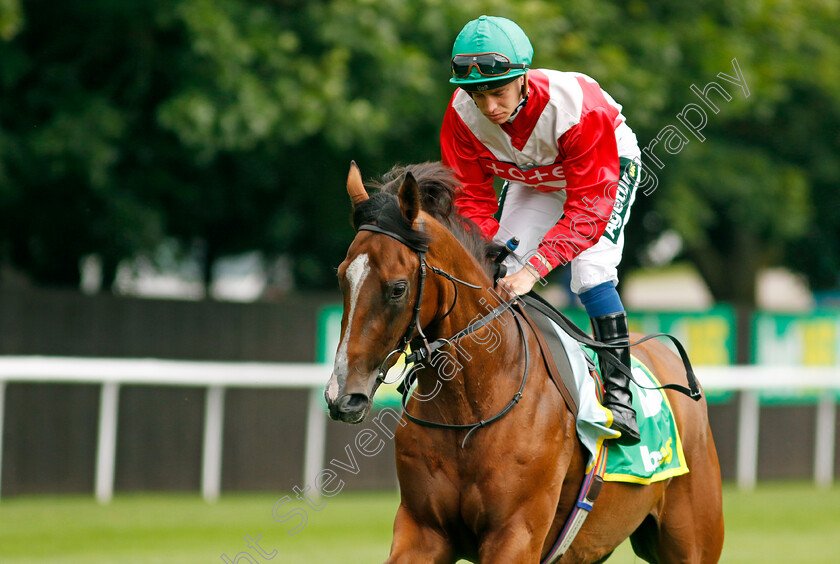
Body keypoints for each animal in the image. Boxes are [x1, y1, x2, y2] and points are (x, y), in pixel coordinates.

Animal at [322, 161, 720, 560]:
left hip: (691, 541)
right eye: (342, 277)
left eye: (398, 288)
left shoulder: (516, 535)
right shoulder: (422, 530)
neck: (468, 409)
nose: (343, 397)